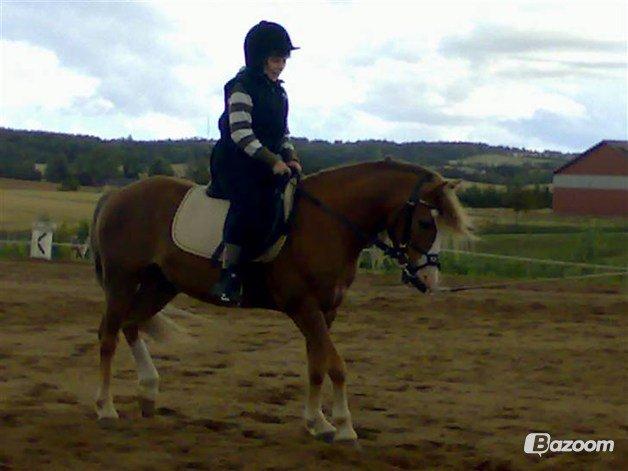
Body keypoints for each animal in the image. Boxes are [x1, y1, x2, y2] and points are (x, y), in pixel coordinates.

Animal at [88, 160, 472, 444]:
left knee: (131, 324)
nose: (429, 280)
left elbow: (317, 364)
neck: (329, 222)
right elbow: (335, 365)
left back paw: (148, 394)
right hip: (122, 281)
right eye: (424, 222)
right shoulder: (305, 307)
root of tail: (116, 195)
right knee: (108, 335)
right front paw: (344, 426)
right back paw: (105, 407)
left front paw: (317, 422)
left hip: (160, 284)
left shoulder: (325, 311)